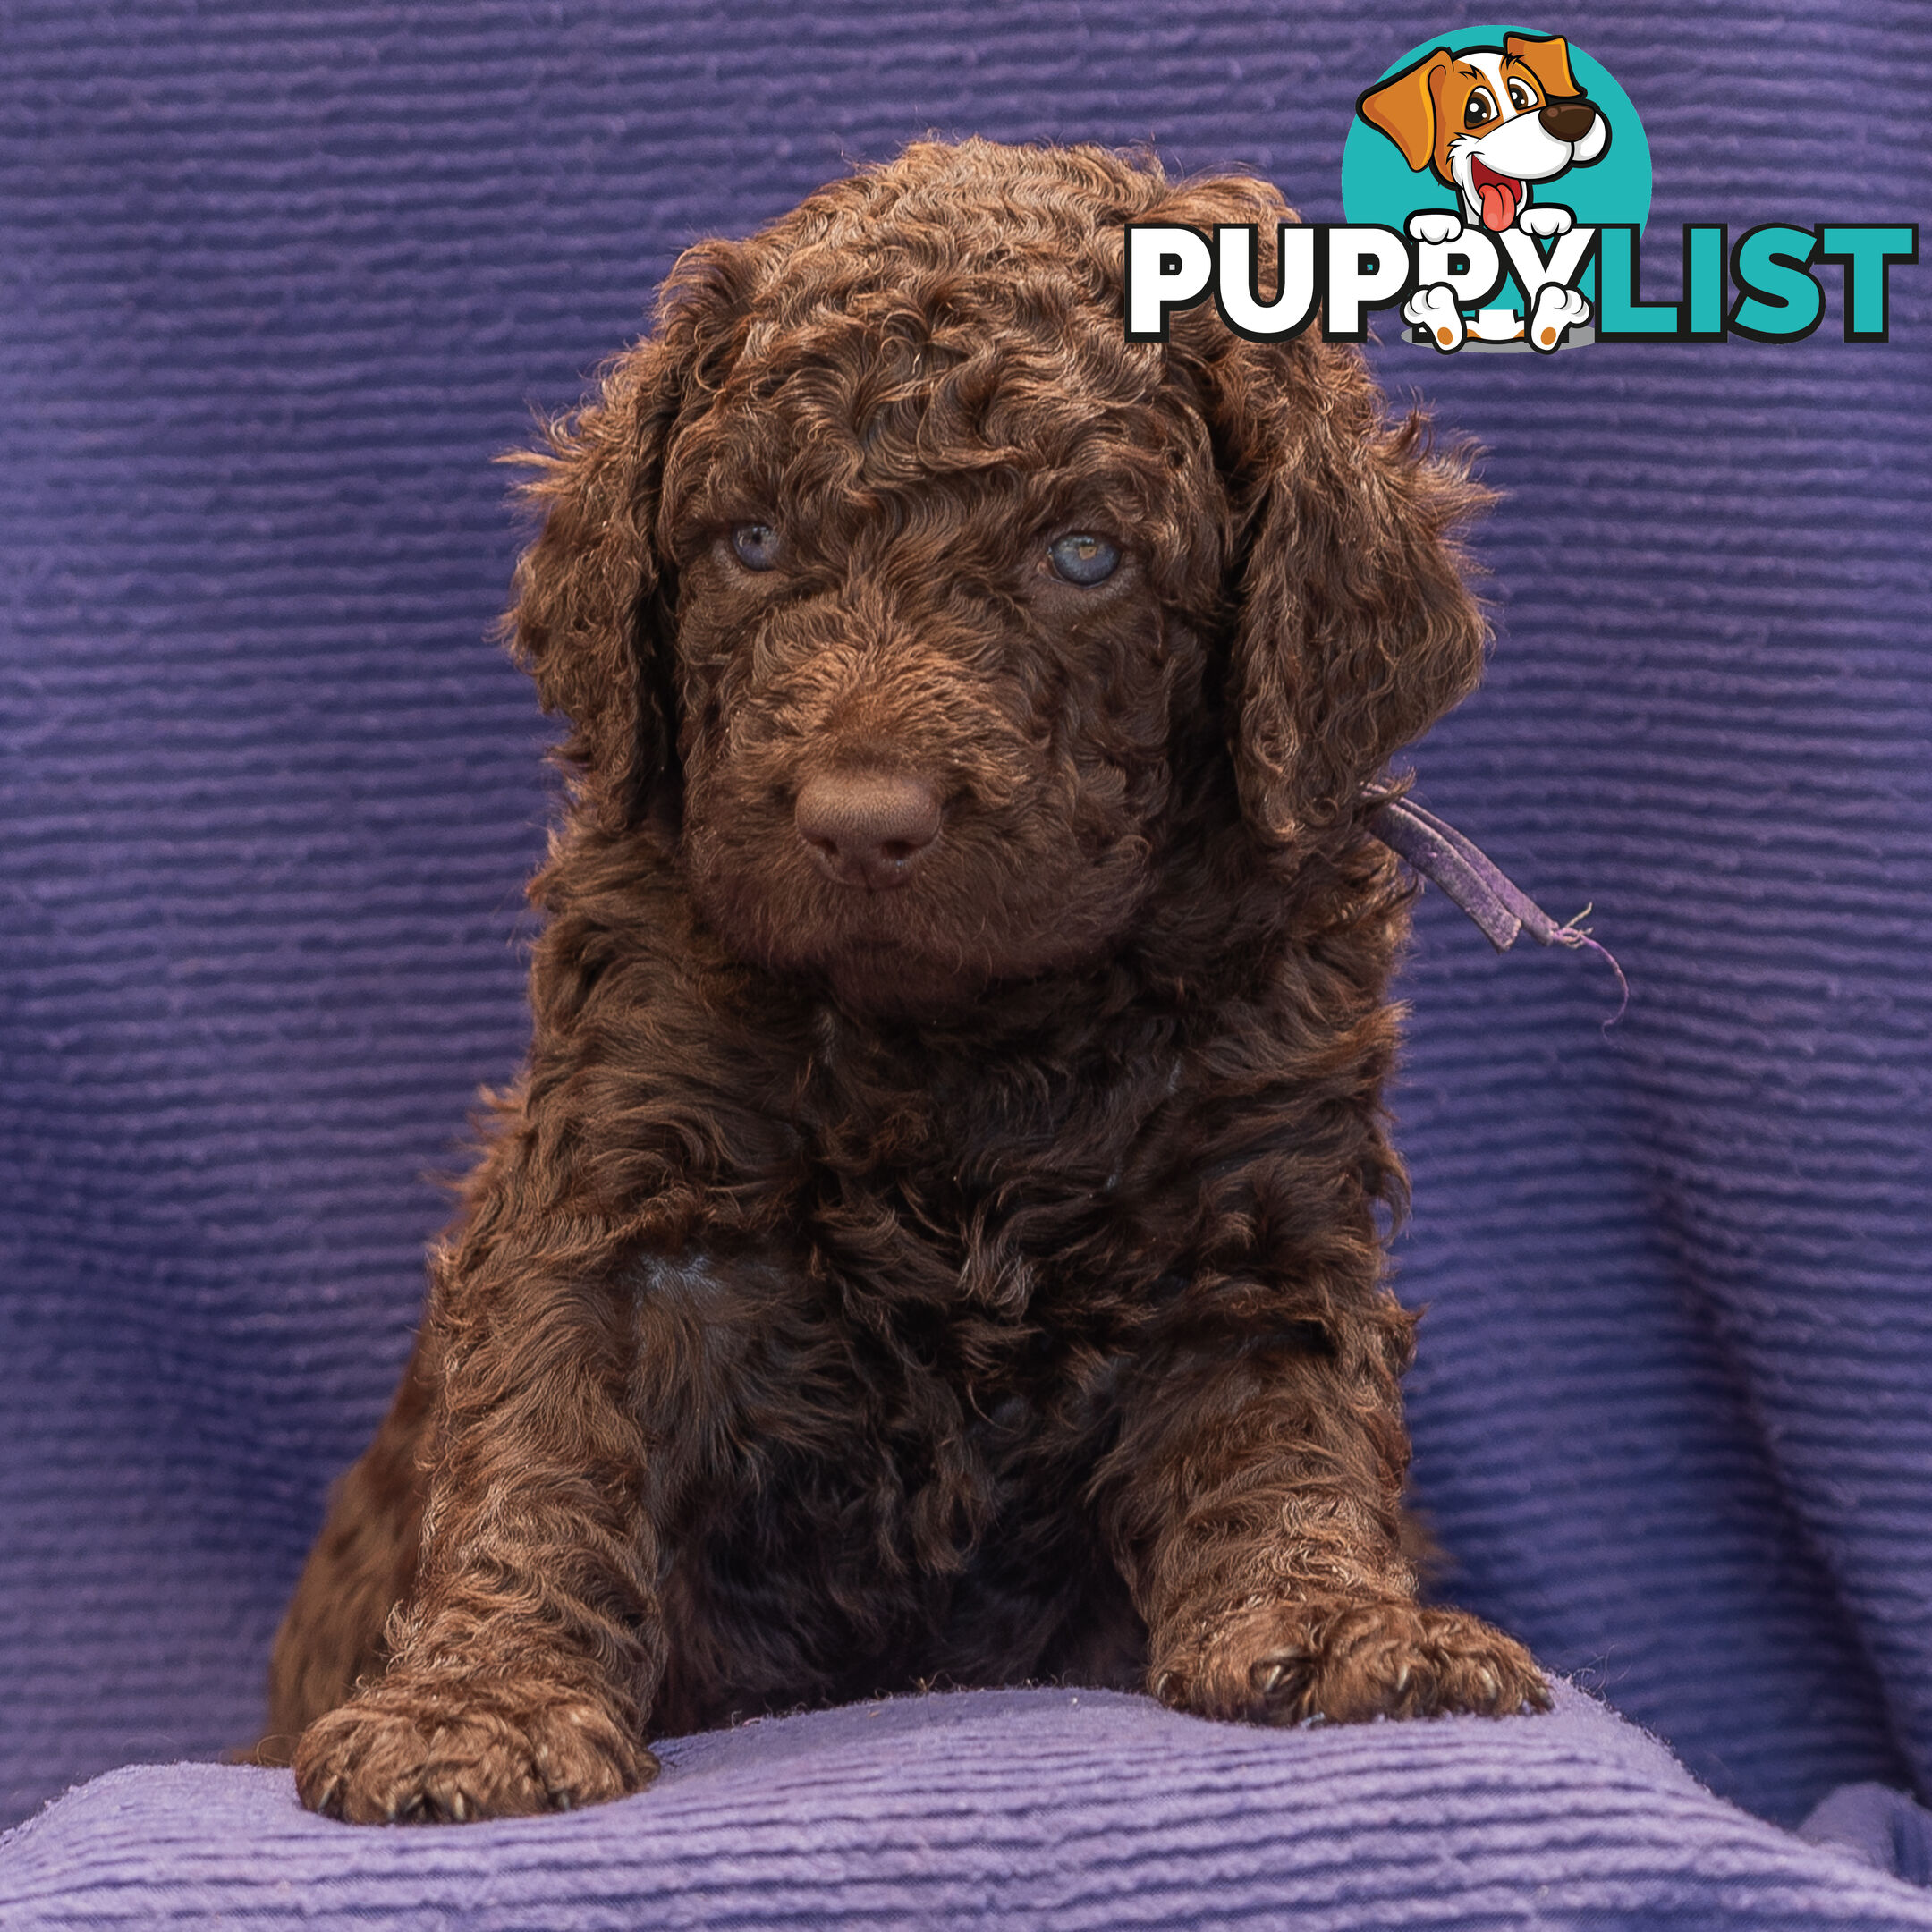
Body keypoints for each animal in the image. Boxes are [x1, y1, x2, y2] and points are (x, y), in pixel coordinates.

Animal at [260, 140, 1553, 1824]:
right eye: (751, 546)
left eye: (1084, 557)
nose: (860, 820)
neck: (965, 1047)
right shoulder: (617, 1182)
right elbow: (543, 1446)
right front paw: (478, 1705)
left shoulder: (1256, 1208)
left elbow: (1283, 1432)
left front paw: (1338, 1623)